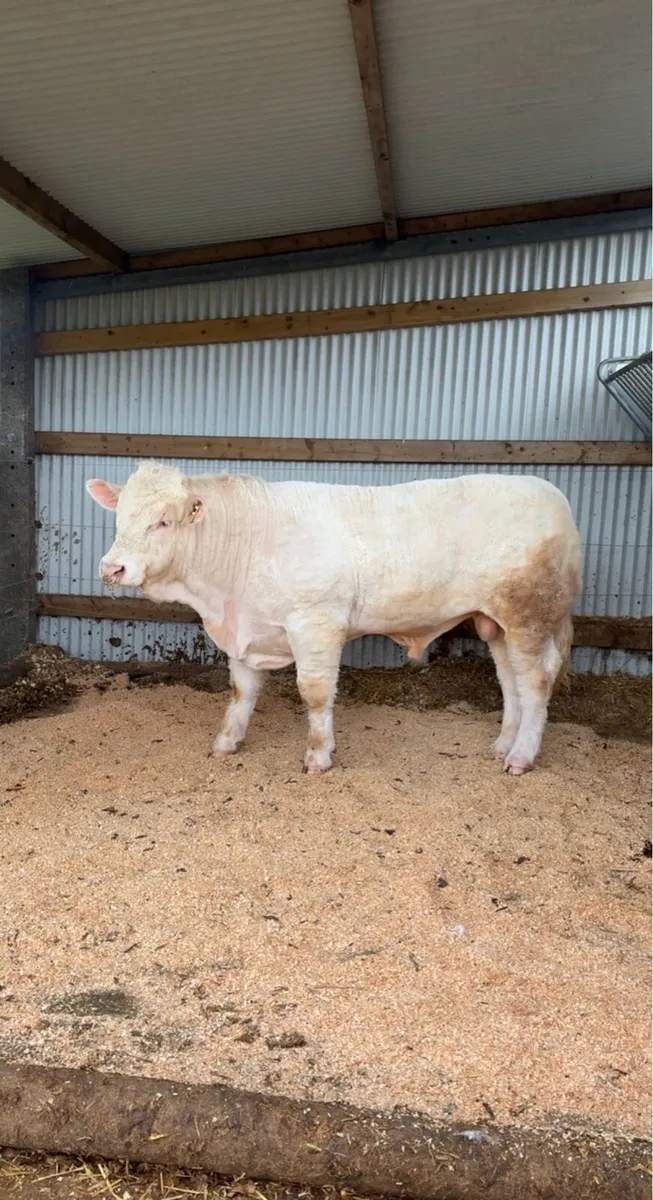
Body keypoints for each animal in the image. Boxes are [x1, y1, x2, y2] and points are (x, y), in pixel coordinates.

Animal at [87, 462, 581, 776]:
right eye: (120, 516)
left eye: (163, 521)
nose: (111, 567)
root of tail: (551, 492)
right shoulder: (247, 630)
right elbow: (241, 691)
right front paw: (226, 743)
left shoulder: (316, 624)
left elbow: (316, 693)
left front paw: (319, 757)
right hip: (494, 623)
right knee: (510, 680)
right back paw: (503, 745)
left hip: (529, 616)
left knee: (536, 681)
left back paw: (521, 757)